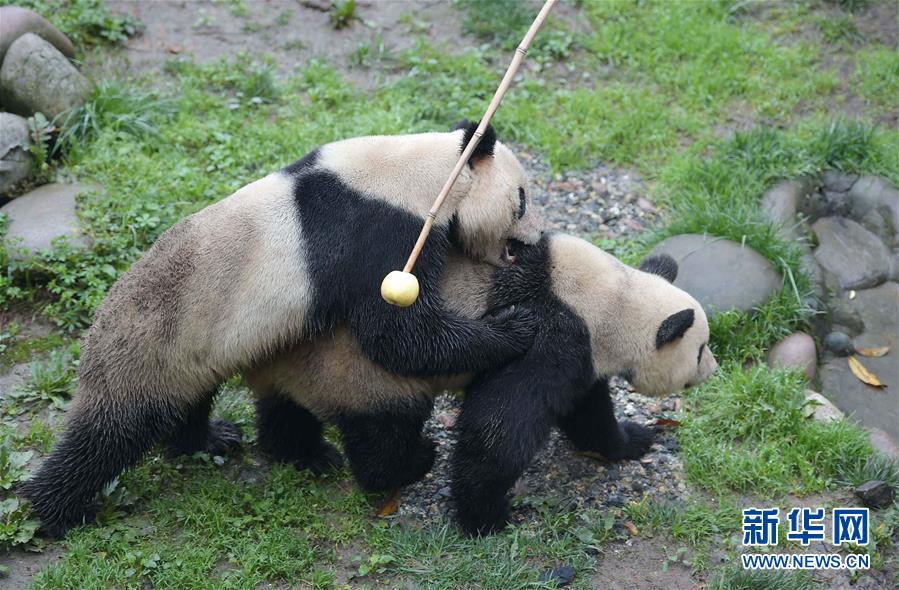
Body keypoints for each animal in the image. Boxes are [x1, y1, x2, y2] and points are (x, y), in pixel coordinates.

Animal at [21, 120, 544, 536]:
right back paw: (55, 512)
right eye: (522, 199)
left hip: (195, 353)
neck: (423, 169)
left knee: (190, 404)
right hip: (148, 346)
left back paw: (222, 440)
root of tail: (96, 331)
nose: (538, 239)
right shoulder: (380, 230)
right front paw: (512, 328)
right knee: (108, 436)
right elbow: (396, 333)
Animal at [243, 235, 720, 536]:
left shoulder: (583, 350)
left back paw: (298, 451)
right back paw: (409, 463)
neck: (610, 297)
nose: (714, 369)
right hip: (360, 371)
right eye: (700, 349)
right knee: (385, 427)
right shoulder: (552, 332)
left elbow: (588, 412)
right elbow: (500, 429)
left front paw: (631, 439)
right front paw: (486, 518)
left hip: (301, 369)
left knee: (284, 409)